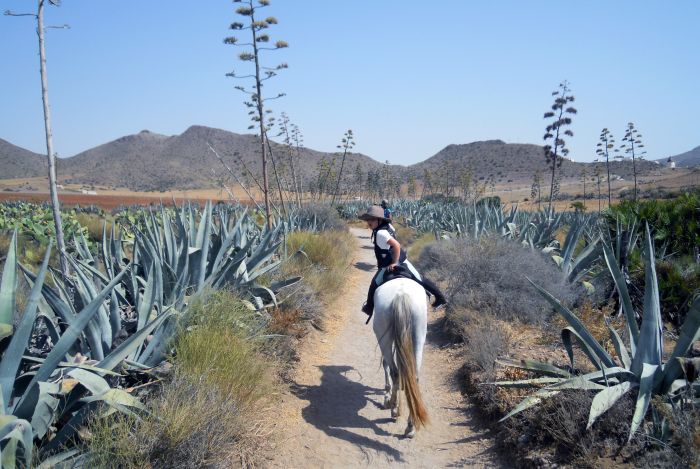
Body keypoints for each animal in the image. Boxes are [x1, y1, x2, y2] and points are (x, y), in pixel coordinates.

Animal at [372, 276, 426, 436]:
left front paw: (387, 396)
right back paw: (410, 426)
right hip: (419, 336)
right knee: (414, 377)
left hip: (384, 338)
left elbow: (386, 364)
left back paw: (393, 407)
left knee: (394, 371)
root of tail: (401, 296)